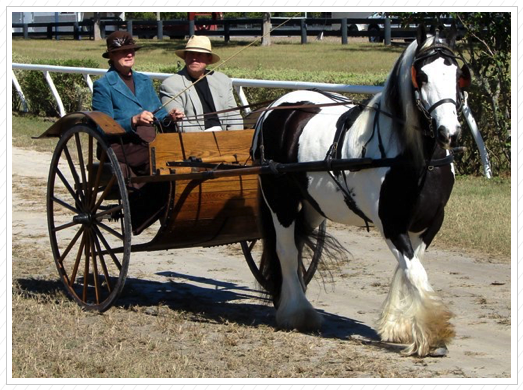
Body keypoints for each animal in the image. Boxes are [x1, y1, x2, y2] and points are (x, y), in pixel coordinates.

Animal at [252, 25, 472, 358]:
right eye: (421, 76)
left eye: (458, 74)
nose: (450, 132)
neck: (414, 157)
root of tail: (276, 107)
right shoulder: (392, 225)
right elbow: (415, 273)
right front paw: (434, 334)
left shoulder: (428, 225)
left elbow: (406, 271)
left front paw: (398, 326)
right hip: (281, 202)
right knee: (286, 250)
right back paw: (297, 312)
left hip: (314, 206)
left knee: (299, 243)